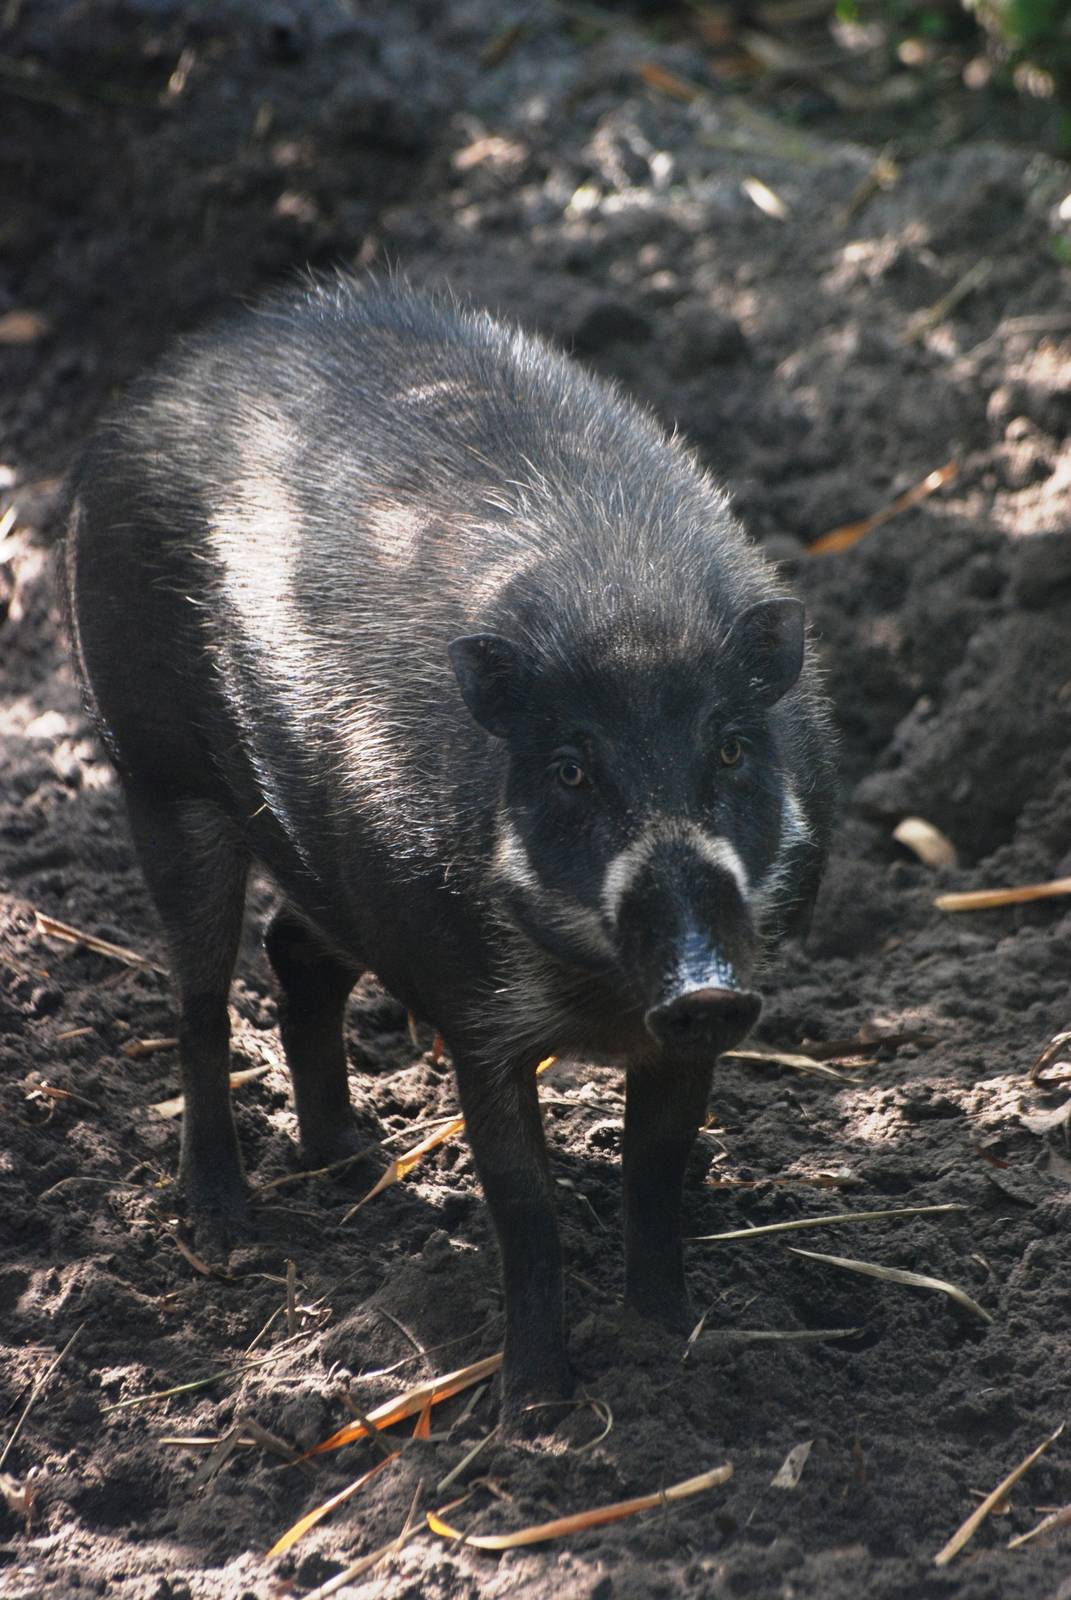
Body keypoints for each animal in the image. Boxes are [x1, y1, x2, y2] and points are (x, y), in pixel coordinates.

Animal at [63, 277, 836, 1416]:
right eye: (569, 768)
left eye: (733, 746)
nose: (704, 986)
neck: (598, 993)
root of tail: (157, 382)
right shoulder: (473, 1010)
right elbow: (525, 1208)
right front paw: (538, 1408)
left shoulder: (689, 1025)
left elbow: (654, 1177)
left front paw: (667, 1344)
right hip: (156, 772)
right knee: (200, 1000)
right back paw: (225, 1227)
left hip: (316, 863)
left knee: (293, 951)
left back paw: (358, 1163)